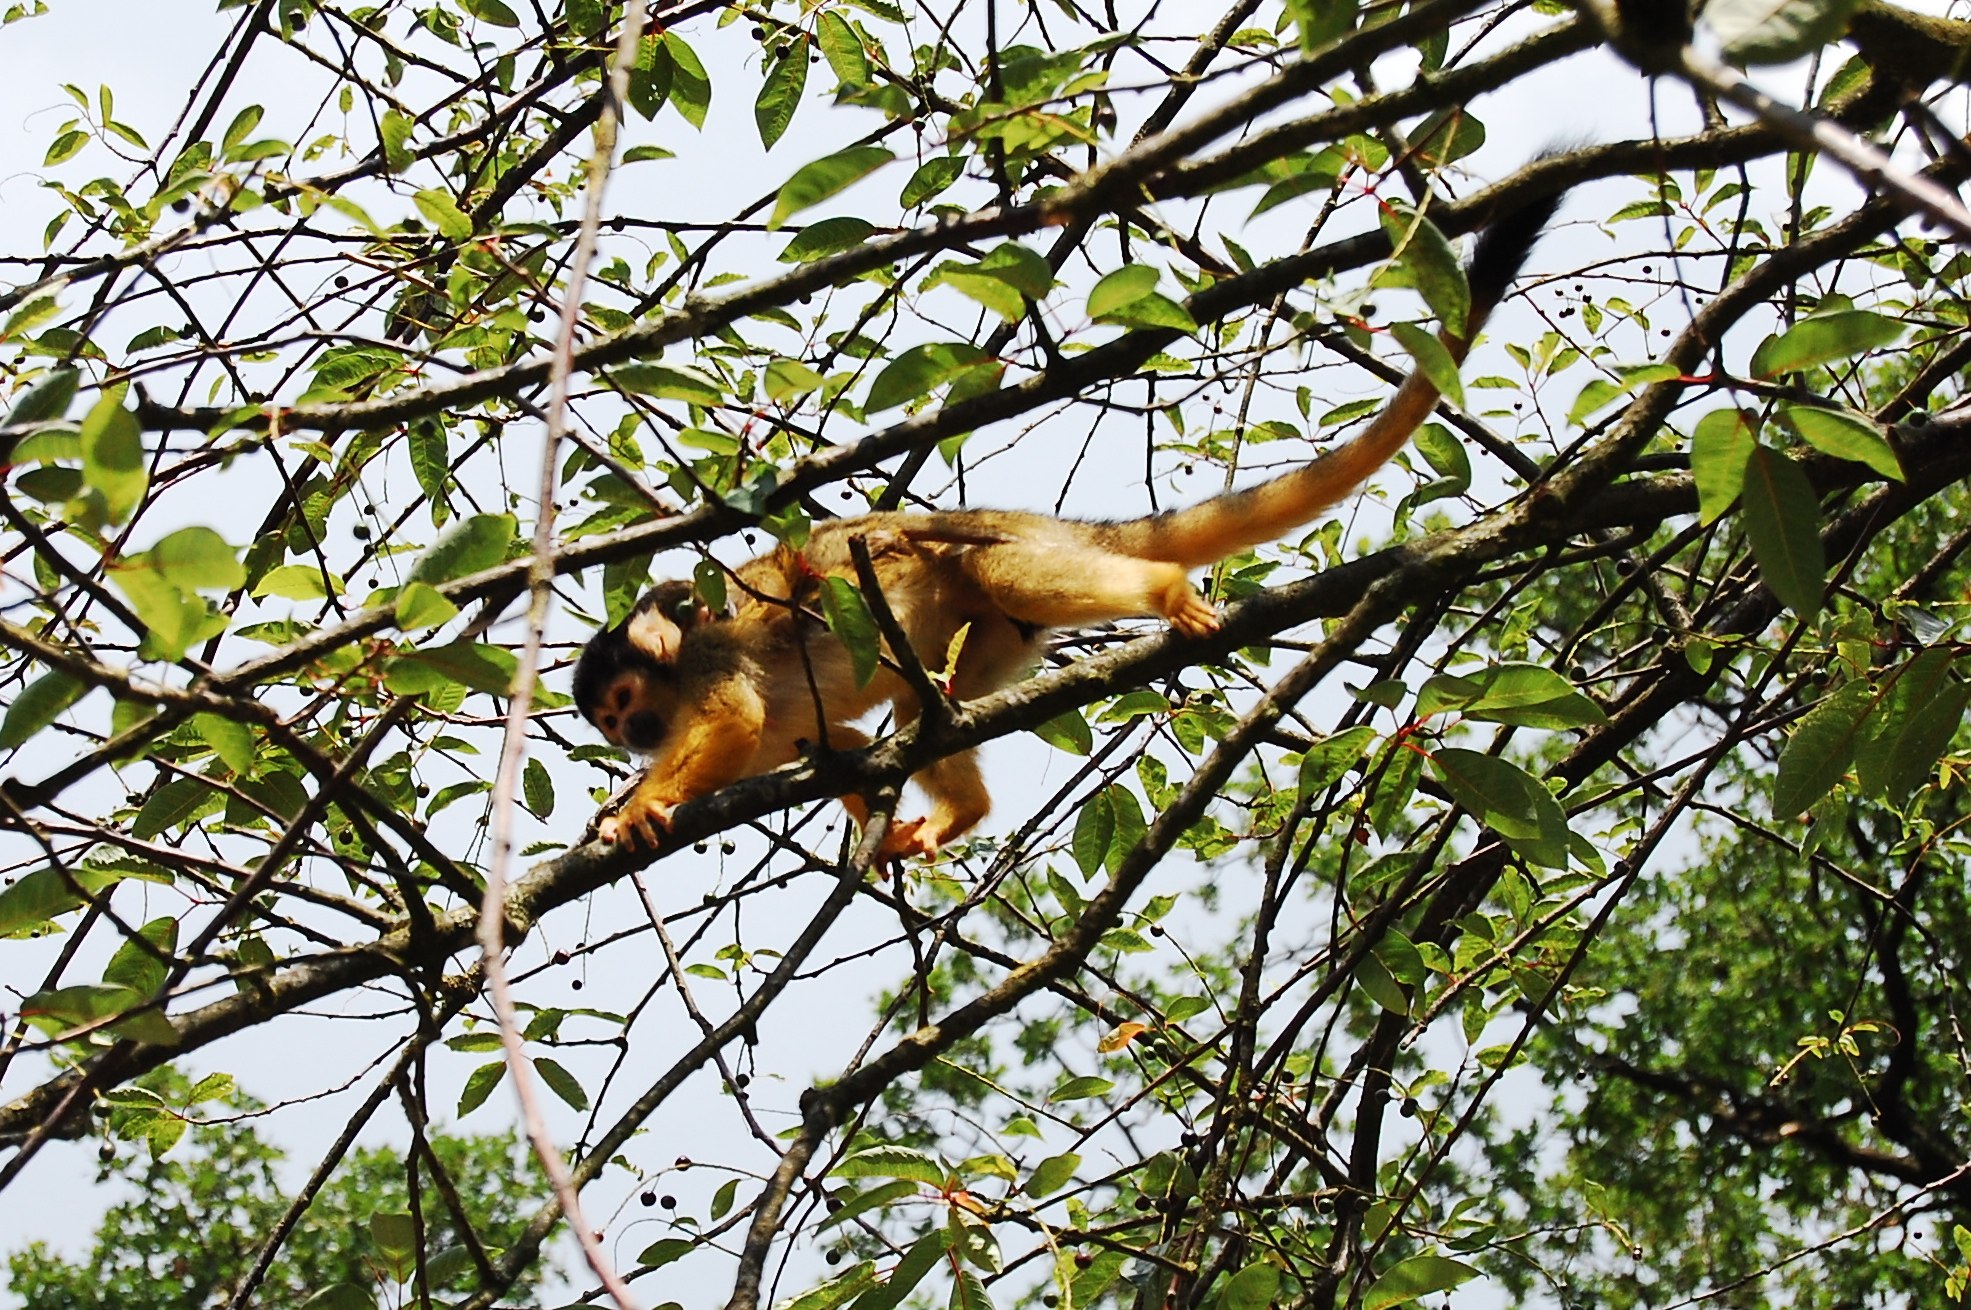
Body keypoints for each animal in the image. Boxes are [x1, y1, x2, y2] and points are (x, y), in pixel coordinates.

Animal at [575, 184, 1561, 858]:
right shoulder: (778, 735)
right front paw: (867, 815)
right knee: (926, 702)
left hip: (989, 558)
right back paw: (961, 810)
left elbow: (734, 721)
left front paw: (639, 807)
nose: (632, 742)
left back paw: (1158, 588)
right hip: (984, 640)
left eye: (622, 709)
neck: (676, 673)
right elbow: (838, 746)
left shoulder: (711, 661)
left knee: (1010, 578)